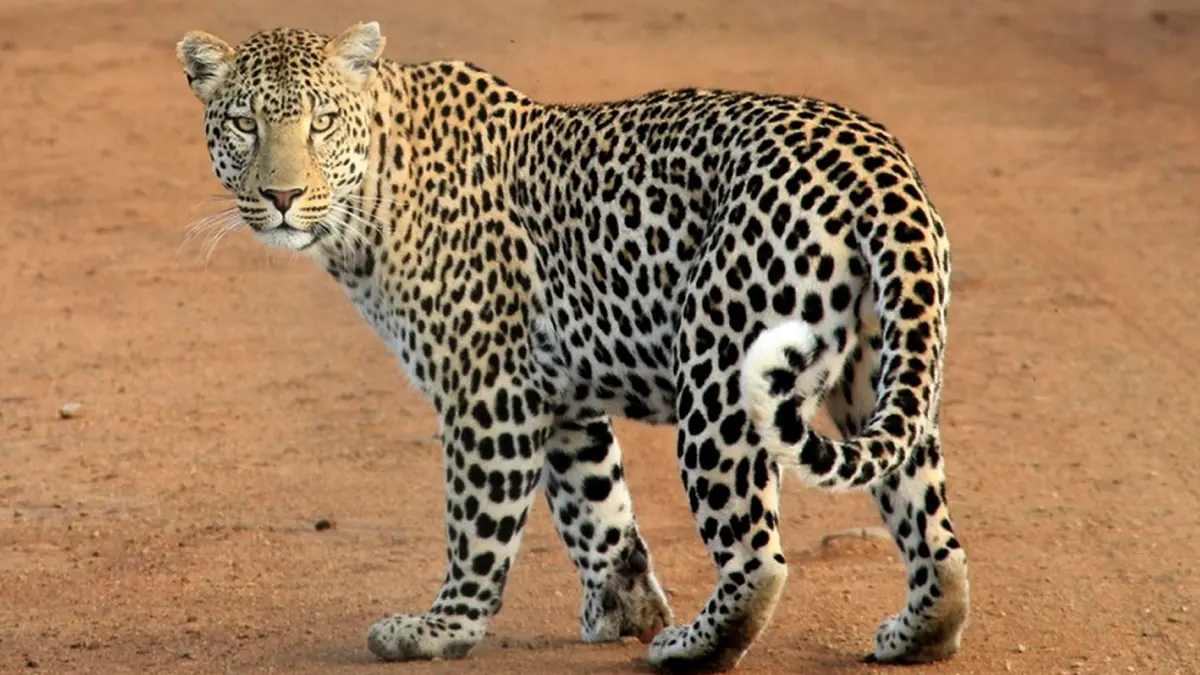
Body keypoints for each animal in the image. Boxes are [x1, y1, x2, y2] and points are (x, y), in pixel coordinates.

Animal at [176, 21, 970, 672]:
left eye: (322, 124)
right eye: (244, 124)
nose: (281, 197)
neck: (371, 197)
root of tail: (876, 163)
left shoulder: (488, 390)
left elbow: (478, 523)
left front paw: (442, 629)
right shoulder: (558, 396)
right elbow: (598, 509)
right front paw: (624, 607)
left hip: (720, 375)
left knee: (757, 558)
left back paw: (690, 646)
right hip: (881, 371)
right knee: (932, 530)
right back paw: (916, 634)